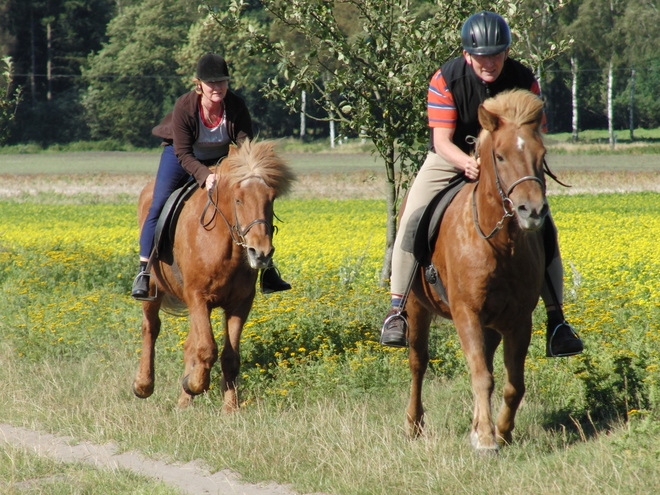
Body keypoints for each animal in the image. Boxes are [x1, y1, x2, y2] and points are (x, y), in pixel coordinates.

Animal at [131, 140, 294, 410]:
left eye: (270, 199)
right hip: (155, 289)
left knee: (190, 344)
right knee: (150, 328)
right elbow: (207, 349)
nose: (260, 253)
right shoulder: (198, 297)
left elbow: (229, 356)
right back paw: (144, 385)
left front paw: (230, 407)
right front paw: (195, 384)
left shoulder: (240, 303)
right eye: (238, 200)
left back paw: (184, 403)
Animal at [404, 90, 548, 454]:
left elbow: (513, 383)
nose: (533, 211)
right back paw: (413, 424)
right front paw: (485, 440)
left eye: (542, 155)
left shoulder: (518, 319)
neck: (499, 244)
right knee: (418, 362)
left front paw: (501, 431)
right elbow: (481, 376)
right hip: (416, 308)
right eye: (499, 156)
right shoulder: (466, 312)